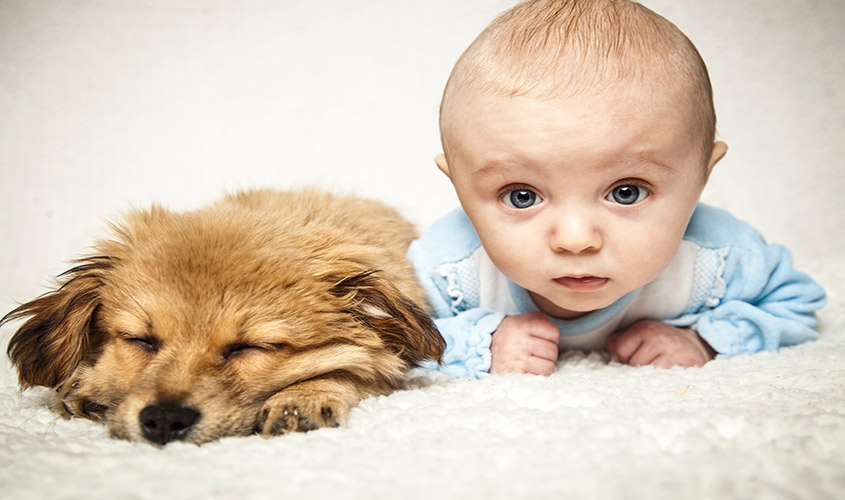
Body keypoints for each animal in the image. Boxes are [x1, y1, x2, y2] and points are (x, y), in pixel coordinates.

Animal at [0, 190, 446, 446]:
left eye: (250, 347)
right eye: (140, 340)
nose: (164, 421)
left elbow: (349, 368)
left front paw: (302, 398)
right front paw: (90, 385)